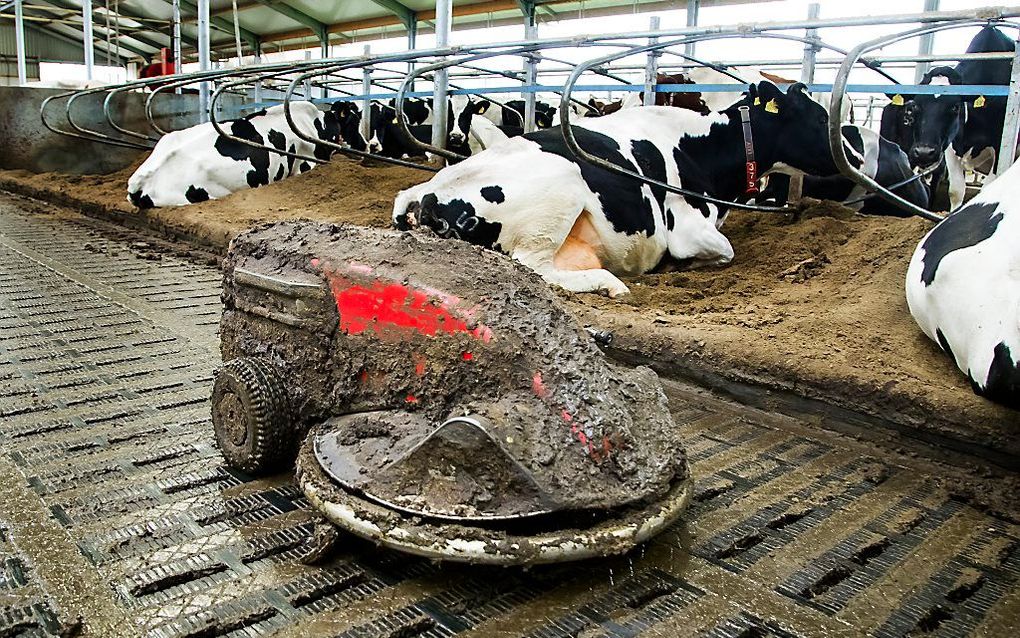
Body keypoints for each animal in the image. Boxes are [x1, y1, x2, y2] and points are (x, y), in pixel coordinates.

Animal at [389, 81, 836, 296]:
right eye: (819, 117)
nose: (843, 153)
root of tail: (425, 194)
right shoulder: (687, 229)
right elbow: (724, 251)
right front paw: (687, 266)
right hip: (558, 193)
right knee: (532, 268)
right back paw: (610, 284)